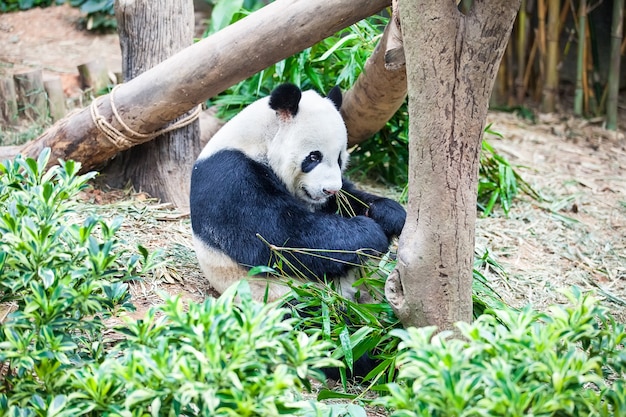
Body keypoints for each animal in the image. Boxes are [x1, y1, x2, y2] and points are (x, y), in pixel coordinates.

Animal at [189, 83, 404, 300]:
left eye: (339, 158)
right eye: (314, 157)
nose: (330, 190)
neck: (261, 140)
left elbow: (348, 199)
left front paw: (388, 213)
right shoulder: (231, 178)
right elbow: (282, 237)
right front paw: (370, 232)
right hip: (280, 293)